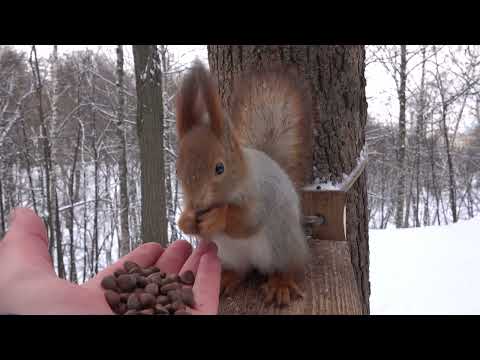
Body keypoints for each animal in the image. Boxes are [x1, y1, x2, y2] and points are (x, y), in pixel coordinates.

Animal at [176, 59, 312, 306]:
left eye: (220, 168)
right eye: (177, 170)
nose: (196, 205)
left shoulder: (261, 195)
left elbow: (246, 220)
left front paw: (218, 217)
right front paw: (186, 220)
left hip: (283, 246)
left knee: (286, 268)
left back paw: (281, 284)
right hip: (228, 254)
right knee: (242, 270)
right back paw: (227, 278)